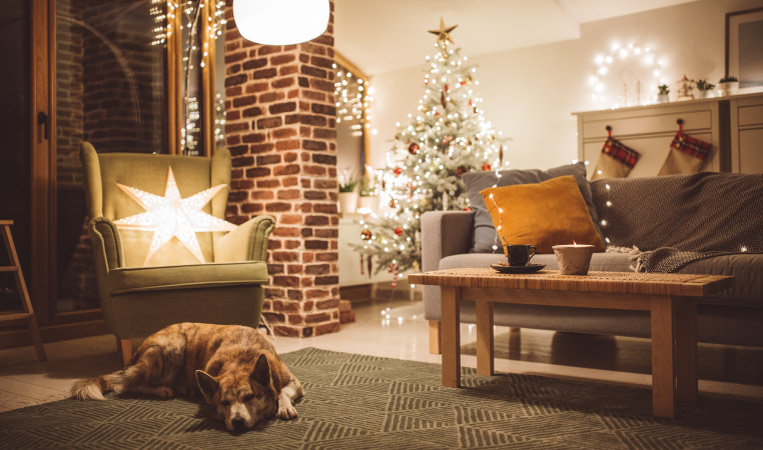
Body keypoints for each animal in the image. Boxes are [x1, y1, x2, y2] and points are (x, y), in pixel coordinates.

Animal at [68, 322, 302, 430]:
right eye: (224, 403)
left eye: (250, 397)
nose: (236, 422)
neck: (241, 358)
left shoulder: (294, 382)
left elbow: (282, 392)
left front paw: (284, 407)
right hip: (171, 347)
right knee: (126, 384)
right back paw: (161, 389)